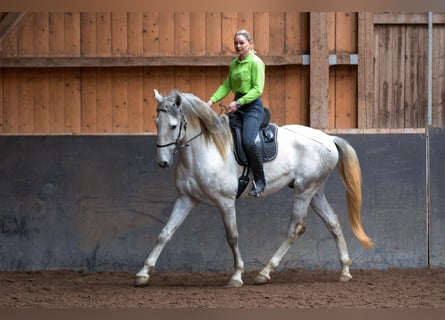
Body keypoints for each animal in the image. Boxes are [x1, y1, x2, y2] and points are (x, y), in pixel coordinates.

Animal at [134, 89, 372, 288]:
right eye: (156, 122)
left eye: (174, 125)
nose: (162, 162)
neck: (205, 149)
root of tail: (328, 138)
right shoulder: (185, 199)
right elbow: (165, 233)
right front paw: (143, 274)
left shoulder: (225, 202)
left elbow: (232, 237)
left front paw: (237, 276)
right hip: (315, 191)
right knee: (333, 223)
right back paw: (345, 271)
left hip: (304, 191)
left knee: (295, 228)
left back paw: (265, 273)